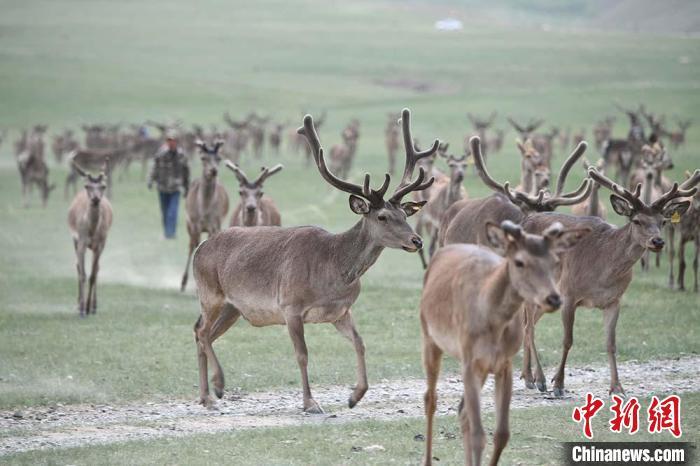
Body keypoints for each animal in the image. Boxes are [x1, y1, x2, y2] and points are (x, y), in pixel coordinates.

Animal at [68, 157, 113, 316]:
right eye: (87, 186)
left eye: (103, 186)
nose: (95, 199)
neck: (92, 231)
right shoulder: (81, 241)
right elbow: (83, 273)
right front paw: (82, 309)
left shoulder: (99, 245)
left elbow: (93, 274)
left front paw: (88, 307)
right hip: (74, 240)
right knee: (77, 266)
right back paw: (77, 304)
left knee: (97, 269)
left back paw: (94, 306)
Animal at [180, 139, 230, 292]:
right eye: (203, 158)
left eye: (219, 158)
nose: (213, 171)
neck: (205, 210)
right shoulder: (194, 223)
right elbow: (194, 245)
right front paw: (187, 283)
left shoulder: (216, 223)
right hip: (188, 224)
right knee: (191, 245)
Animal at [191, 108, 438, 412]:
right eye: (382, 216)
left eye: (405, 214)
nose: (417, 241)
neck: (333, 271)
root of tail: (200, 248)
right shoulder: (290, 306)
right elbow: (302, 354)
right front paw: (310, 402)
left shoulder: (341, 311)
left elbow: (360, 343)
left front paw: (355, 396)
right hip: (210, 293)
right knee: (201, 331)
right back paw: (217, 387)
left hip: (232, 307)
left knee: (203, 333)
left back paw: (206, 395)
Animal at [418, 219, 588, 466]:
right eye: (519, 262)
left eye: (555, 261)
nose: (554, 298)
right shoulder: (468, 360)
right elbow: (479, 434)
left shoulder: (504, 364)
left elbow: (501, 434)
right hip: (429, 337)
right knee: (431, 399)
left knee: (463, 411)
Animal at [516, 166, 696, 396]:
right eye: (636, 221)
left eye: (663, 222)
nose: (658, 241)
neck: (602, 271)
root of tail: (524, 221)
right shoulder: (569, 293)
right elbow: (567, 340)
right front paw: (558, 384)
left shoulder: (614, 300)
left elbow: (611, 344)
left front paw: (617, 387)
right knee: (529, 327)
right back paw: (540, 380)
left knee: (526, 325)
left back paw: (528, 377)